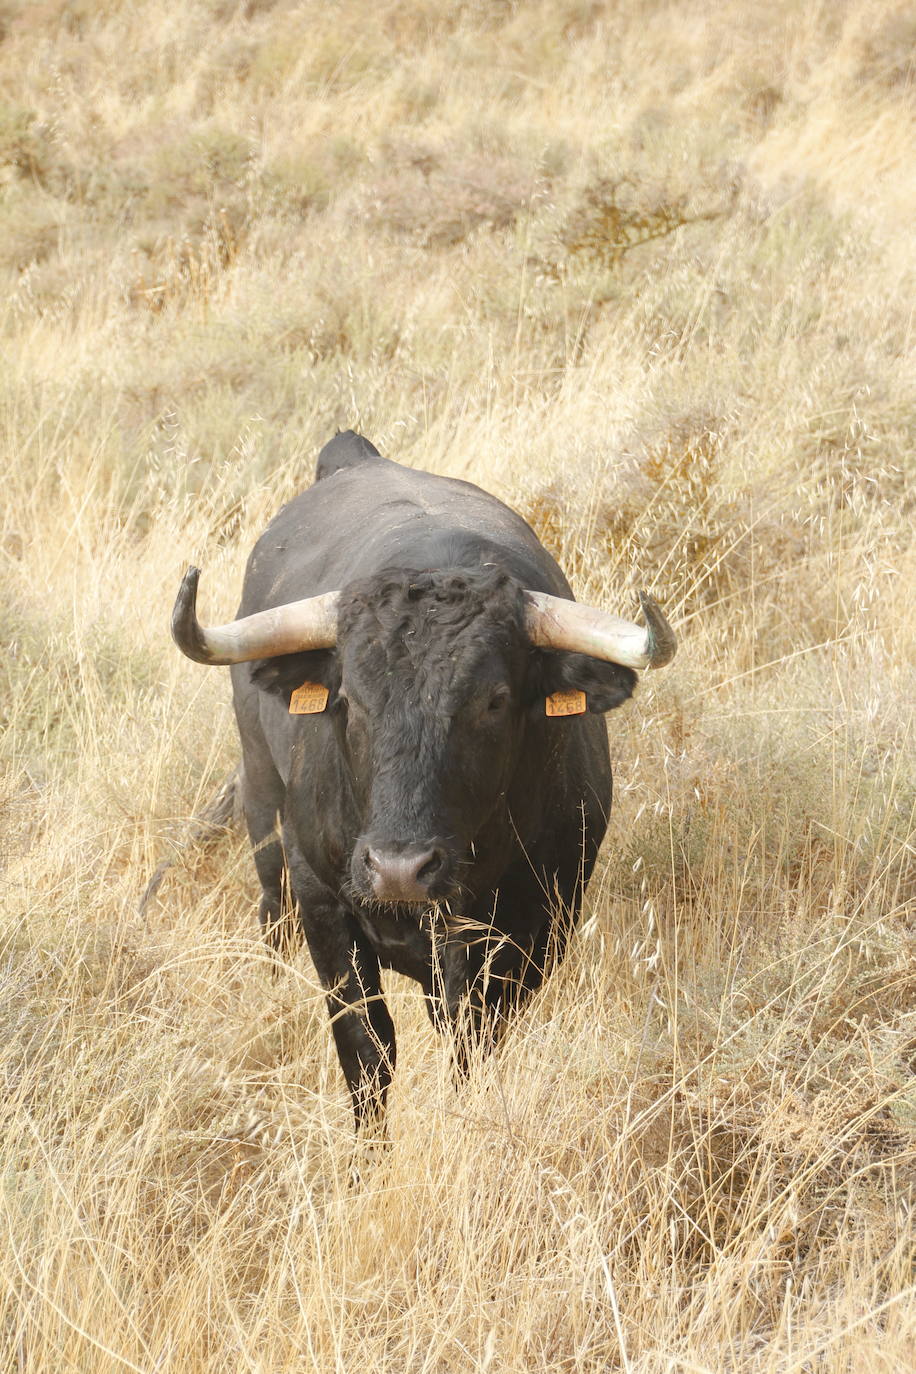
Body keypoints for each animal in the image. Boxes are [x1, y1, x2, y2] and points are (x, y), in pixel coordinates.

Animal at [173, 434, 672, 1132]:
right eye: (350, 699)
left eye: (494, 701)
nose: (399, 869)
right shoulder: (325, 909)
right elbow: (367, 1049)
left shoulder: (536, 922)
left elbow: (474, 1043)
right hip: (262, 802)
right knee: (271, 910)